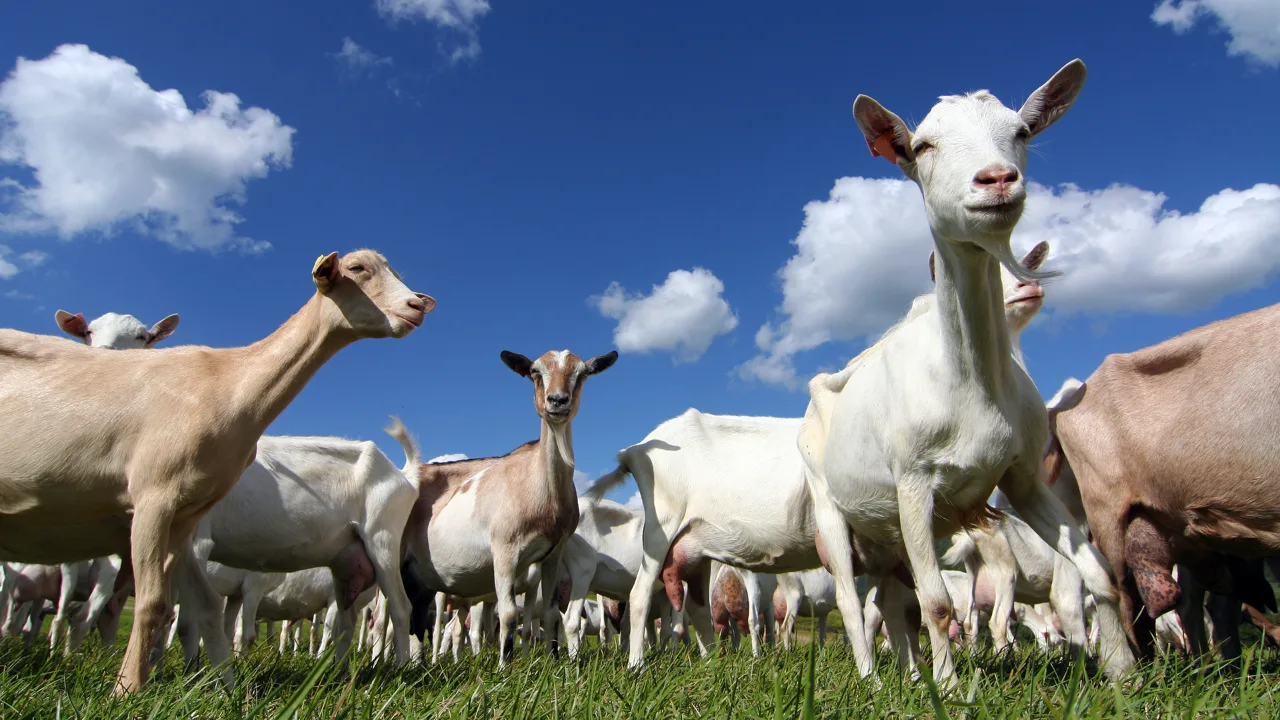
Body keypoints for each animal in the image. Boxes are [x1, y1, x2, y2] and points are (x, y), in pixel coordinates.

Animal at [0, 249, 433, 693]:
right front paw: (204, 682)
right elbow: (194, 611)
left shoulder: (181, 521)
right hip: (349, 559)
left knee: (396, 609)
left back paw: (400, 673)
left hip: (382, 536)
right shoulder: (177, 520)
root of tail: (403, 473)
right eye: (358, 269)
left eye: (144, 338)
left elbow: (178, 610)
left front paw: (141, 685)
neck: (228, 380)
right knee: (346, 621)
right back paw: (342, 676)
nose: (417, 305)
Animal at [397, 349, 617, 667]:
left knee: (416, 618)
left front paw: (553, 662)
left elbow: (551, 613)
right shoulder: (504, 549)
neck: (542, 492)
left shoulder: (553, 553)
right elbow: (510, 614)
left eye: (581, 374)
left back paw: (418, 664)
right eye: (535, 372)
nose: (557, 401)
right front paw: (504, 666)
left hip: (422, 576)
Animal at [796, 60, 1133, 690]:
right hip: (831, 505)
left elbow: (1096, 572)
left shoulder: (1023, 477)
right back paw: (873, 678)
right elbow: (937, 603)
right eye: (922, 146)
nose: (996, 180)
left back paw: (908, 674)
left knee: (889, 600)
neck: (970, 383)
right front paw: (950, 691)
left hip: (885, 534)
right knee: (855, 602)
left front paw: (1126, 677)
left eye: (1022, 131)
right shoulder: (912, 483)